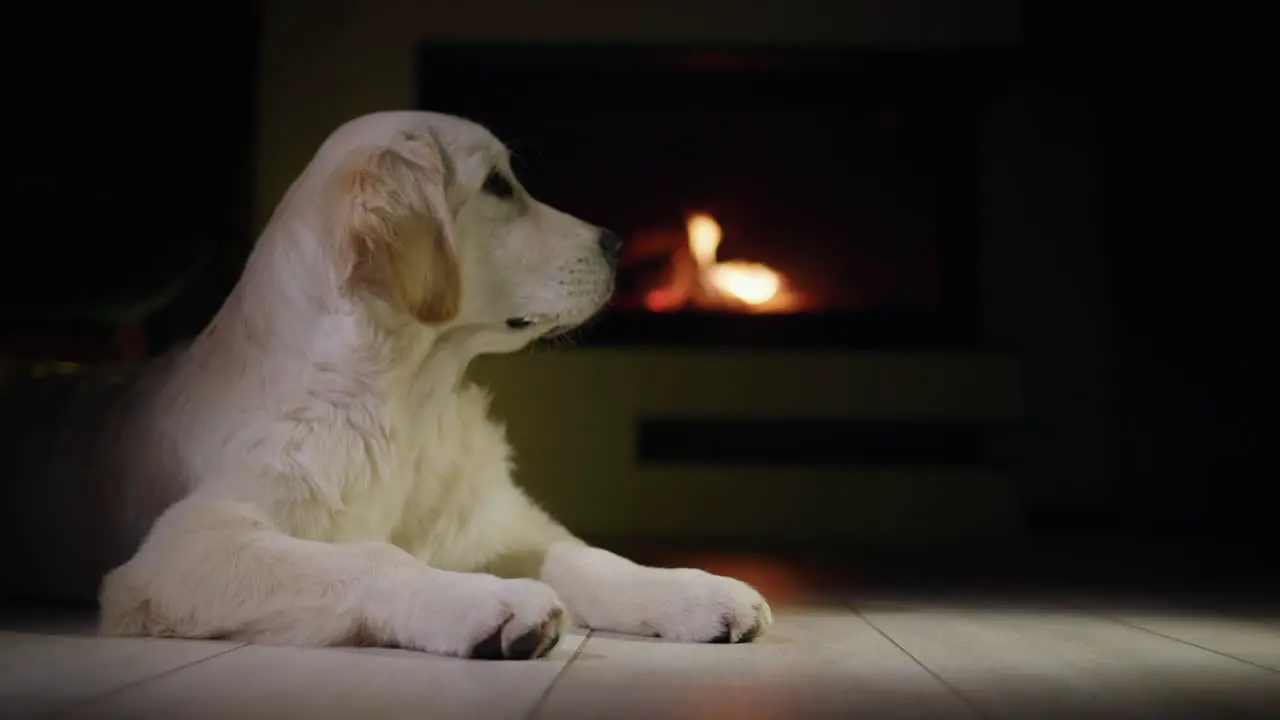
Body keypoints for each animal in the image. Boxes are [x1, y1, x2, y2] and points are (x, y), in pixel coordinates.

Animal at [0, 110, 768, 655]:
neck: (407, 402)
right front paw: (489, 605)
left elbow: (589, 557)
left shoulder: (491, 522)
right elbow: (372, 559)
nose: (616, 245)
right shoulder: (182, 550)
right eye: (499, 186)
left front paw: (694, 594)